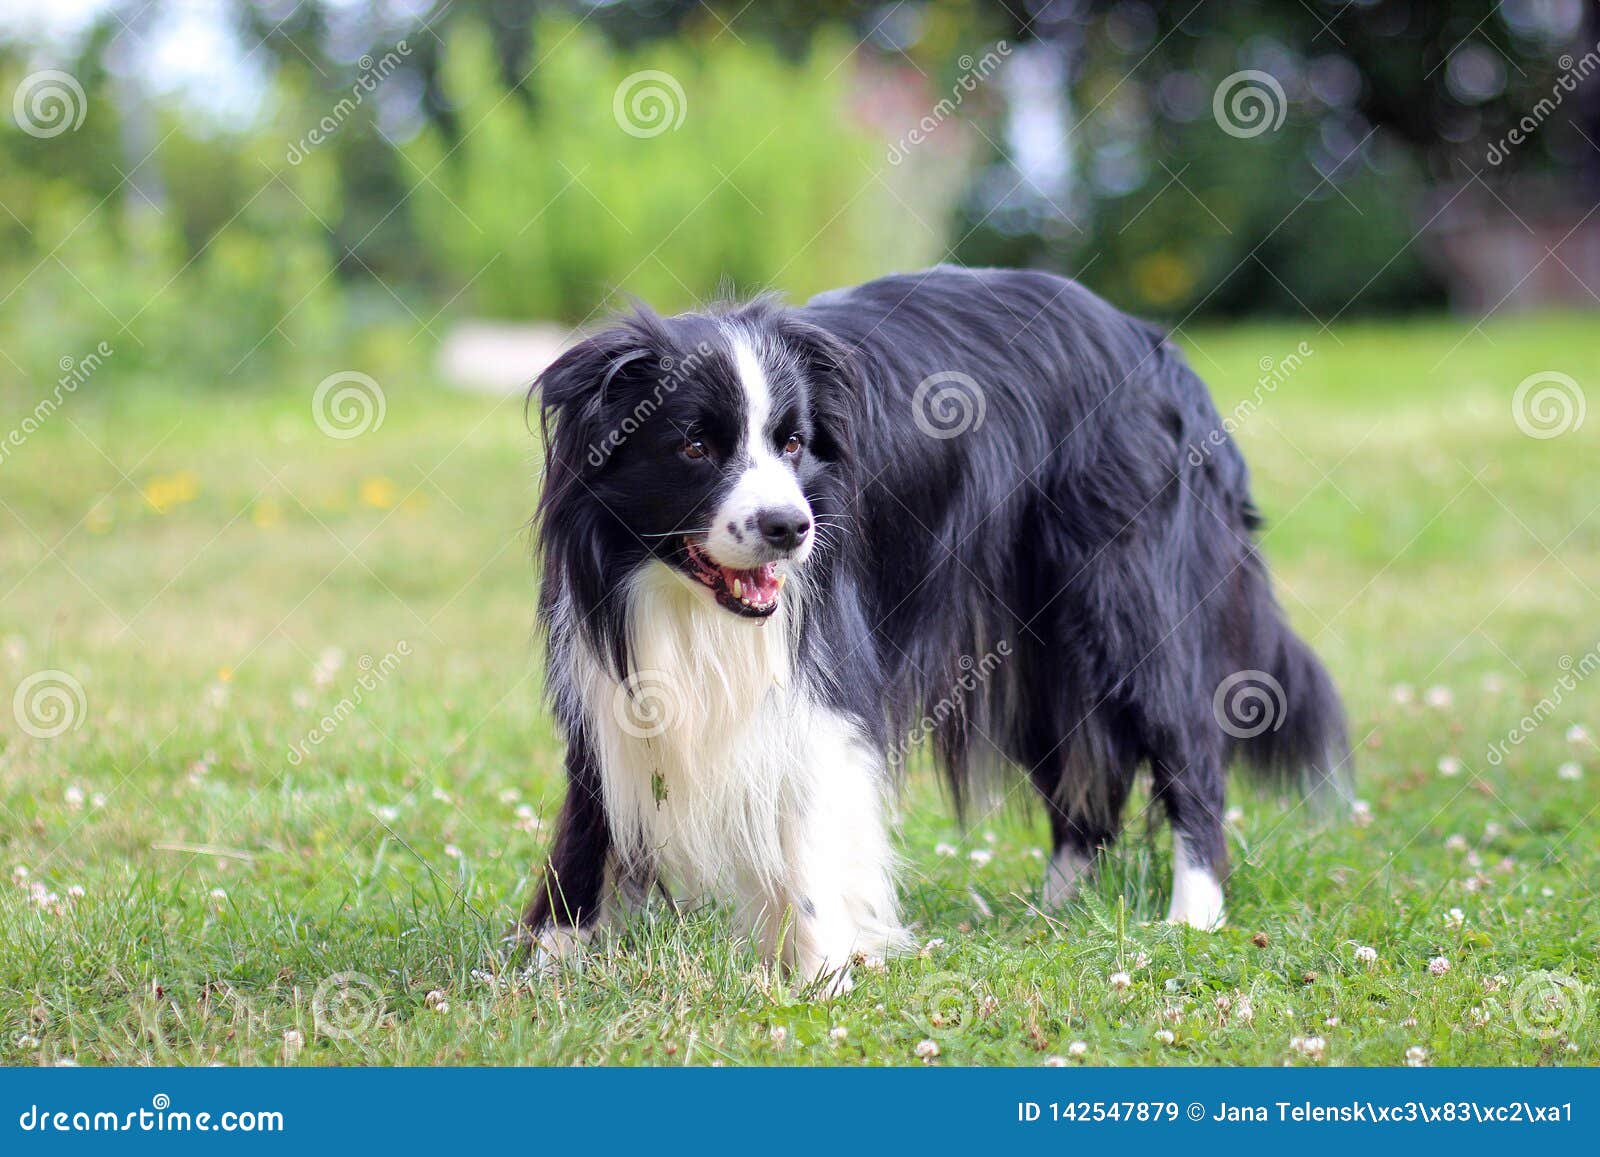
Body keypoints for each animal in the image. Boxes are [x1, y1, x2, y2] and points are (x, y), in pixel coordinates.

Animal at [518, 267, 1344, 992]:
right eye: (693, 445)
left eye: (793, 443)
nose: (790, 528)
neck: (676, 592)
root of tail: (1158, 349)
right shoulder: (604, 673)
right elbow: (588, 816)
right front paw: (543, 963)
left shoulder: (827, 665)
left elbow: (811, 818)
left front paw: (822, 976)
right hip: (1036, 638)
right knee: (1080, 770)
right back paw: (1057, 912)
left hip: (1128, 588)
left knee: (1187, 743)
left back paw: (1191, 916)